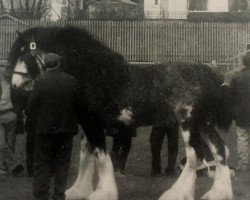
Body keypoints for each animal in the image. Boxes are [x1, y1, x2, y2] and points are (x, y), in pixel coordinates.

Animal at [8, 26, 234, 200]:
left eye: (25, 54)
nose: (15, 85)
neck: (95, 75)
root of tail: (211, 76)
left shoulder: (93, 124)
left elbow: (101, 159)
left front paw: (103, 193)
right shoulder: (88, 126)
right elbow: (86, 157)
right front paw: (78, 190)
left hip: (188, 123)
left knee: (195, 156)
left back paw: (176, 194)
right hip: (204, 123)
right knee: (219, 151)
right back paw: (218, 194)